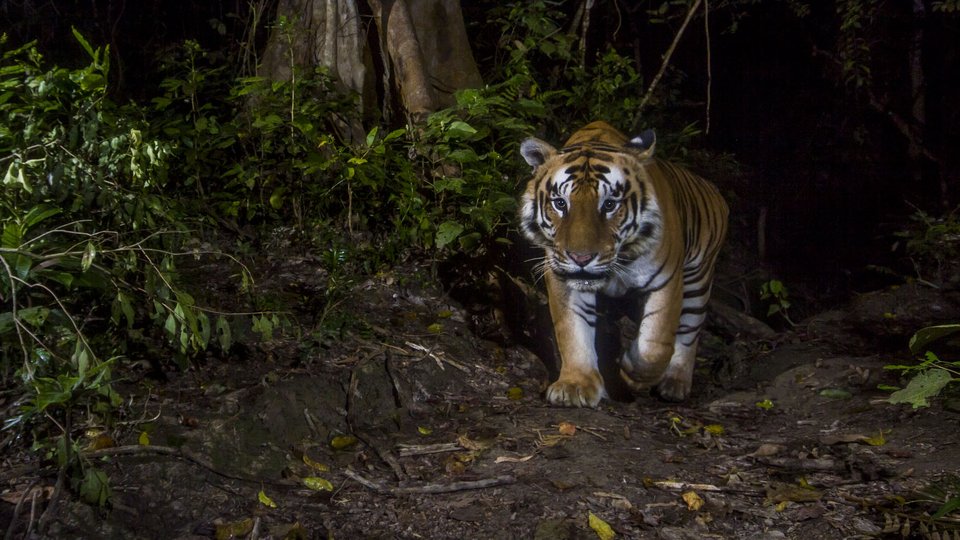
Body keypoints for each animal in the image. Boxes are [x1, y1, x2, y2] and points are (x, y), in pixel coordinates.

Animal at [519, 121, 728, 407]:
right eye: (560, 203)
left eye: (609, 205)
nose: (580, 258)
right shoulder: (563, 277)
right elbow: (572, 330)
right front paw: (575, 386)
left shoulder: (667, 281)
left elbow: (655, 344)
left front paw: (631, 372)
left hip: (698, 281)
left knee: (689, 332)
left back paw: (675, 384)